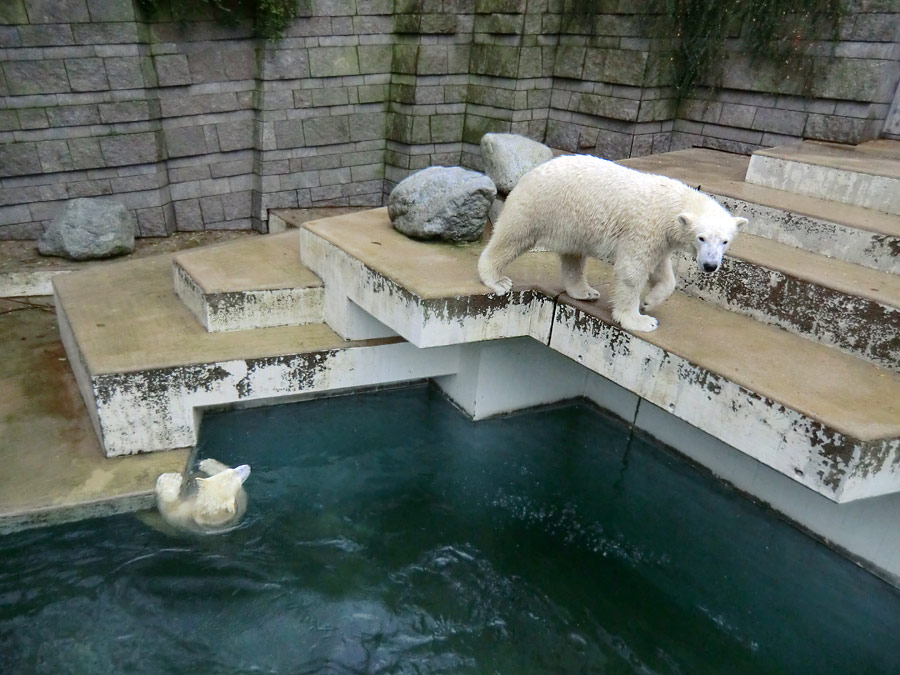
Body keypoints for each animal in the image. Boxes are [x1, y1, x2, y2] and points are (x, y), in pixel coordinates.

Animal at [478, 154, 744, 332]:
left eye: (725, 241)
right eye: (702, 237)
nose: (710, 266)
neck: (672, 203)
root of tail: (531, 172)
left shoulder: (660, 238)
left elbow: (662, 271)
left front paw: (650, 301)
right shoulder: (645, 228)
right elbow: (632, 271)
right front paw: (640, 320)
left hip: (573, 222)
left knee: (574, 256)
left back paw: (585, 291)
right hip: (539, 205)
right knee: (513, 236)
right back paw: (497, 279)